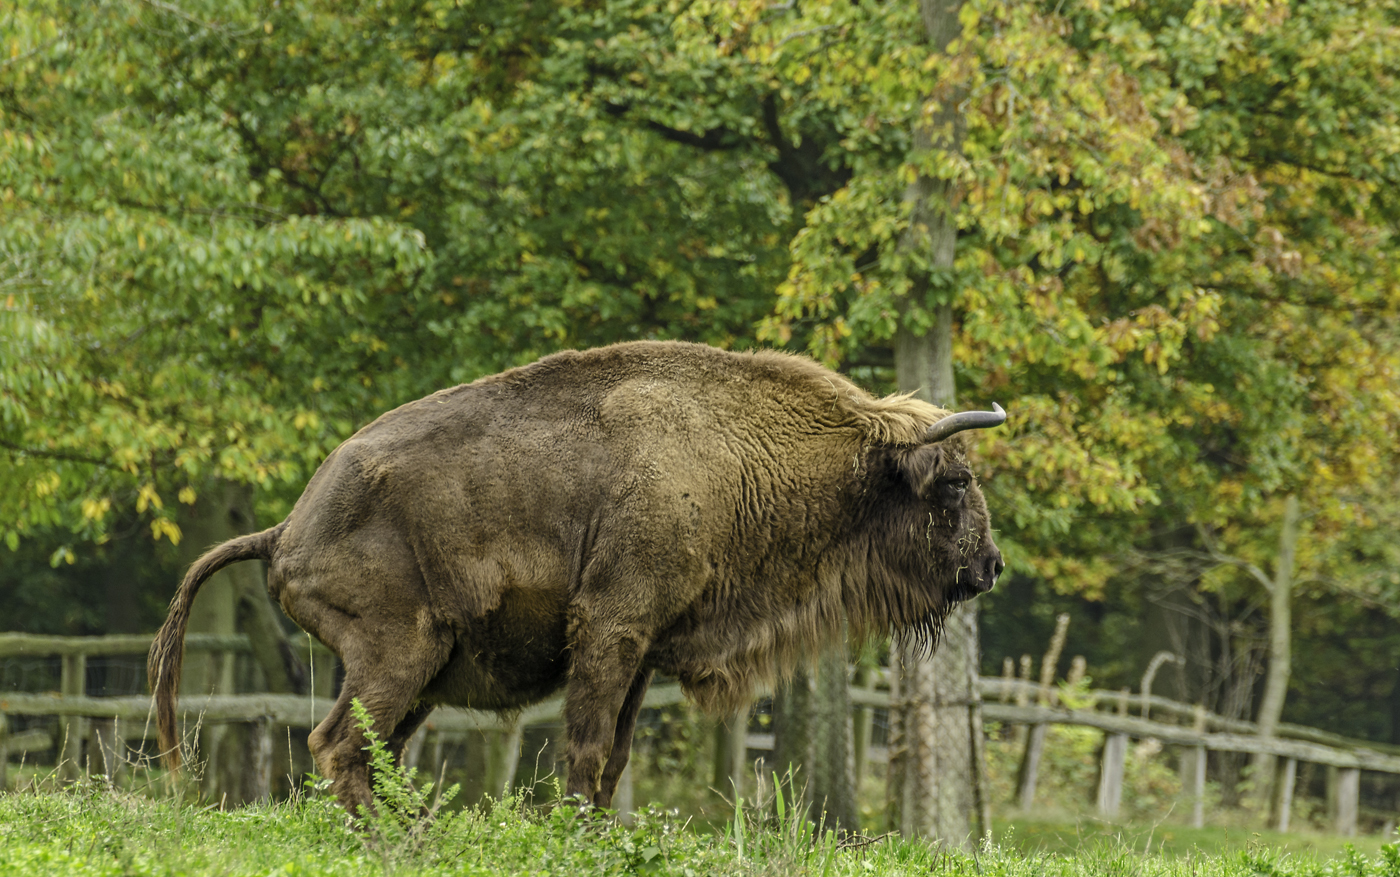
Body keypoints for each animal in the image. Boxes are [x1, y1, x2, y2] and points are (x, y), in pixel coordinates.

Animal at [150, 337, 1008, 806]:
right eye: (956, 481)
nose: (990, 566)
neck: (733, 452)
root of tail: (287, 529)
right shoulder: (609, 628)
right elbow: (588, 749)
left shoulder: (643, 650)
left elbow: (614, 759)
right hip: (397, 655)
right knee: (336, 745)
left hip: (415, 678)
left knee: (369, 752)